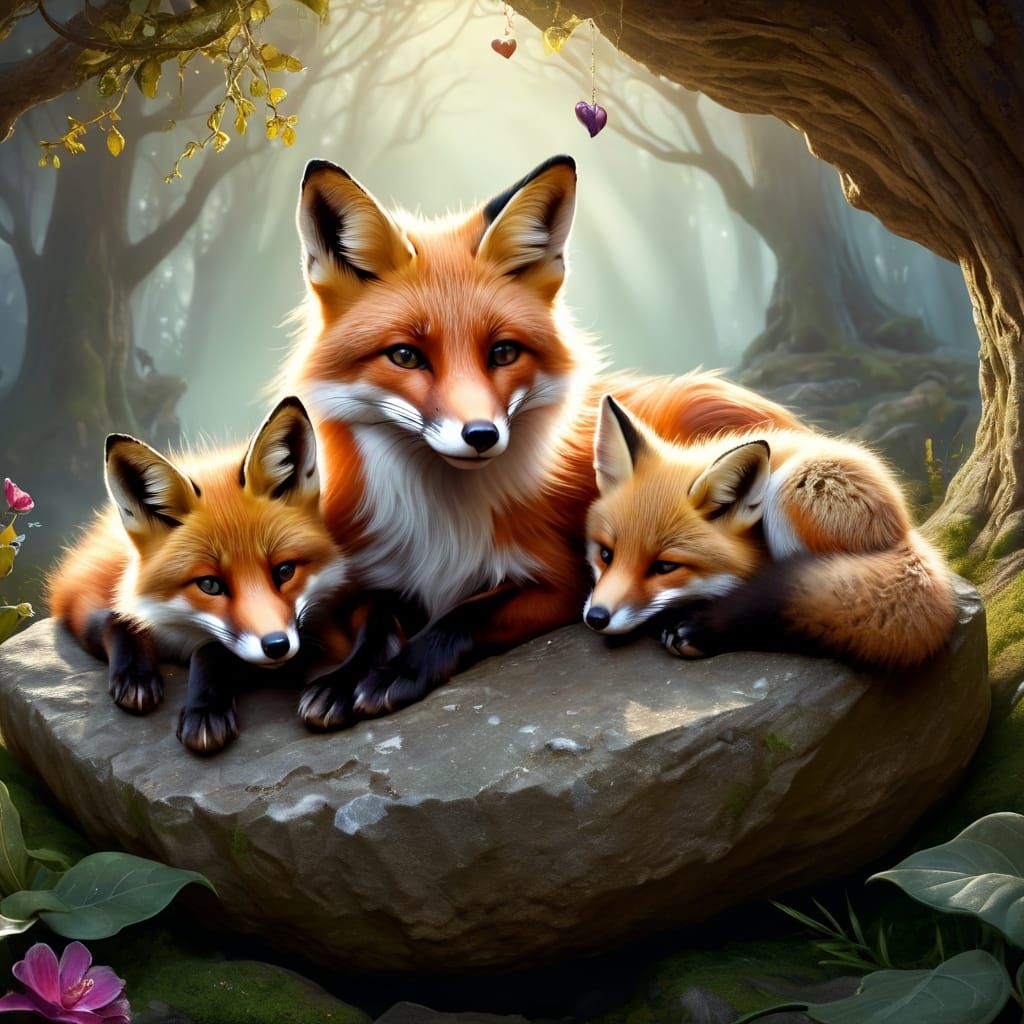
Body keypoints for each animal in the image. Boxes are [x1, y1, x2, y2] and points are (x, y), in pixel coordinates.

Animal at [46, 397, 371, 753]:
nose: (276, 646)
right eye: (210, 584)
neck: (180, 632)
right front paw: (136, 674)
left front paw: (204, 708)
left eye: (284, 571)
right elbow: (115, 618)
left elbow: (212, 650)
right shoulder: (79, 590)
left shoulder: (320, 634)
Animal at [281, 154, 804, 725]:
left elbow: (463, 616)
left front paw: (398, 671)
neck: (443, 522)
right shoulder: (371, 576)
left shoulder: (563, 584)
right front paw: (344, 678)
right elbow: (375, 622)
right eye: (404, 356)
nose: (481, 435)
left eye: (504, 352)